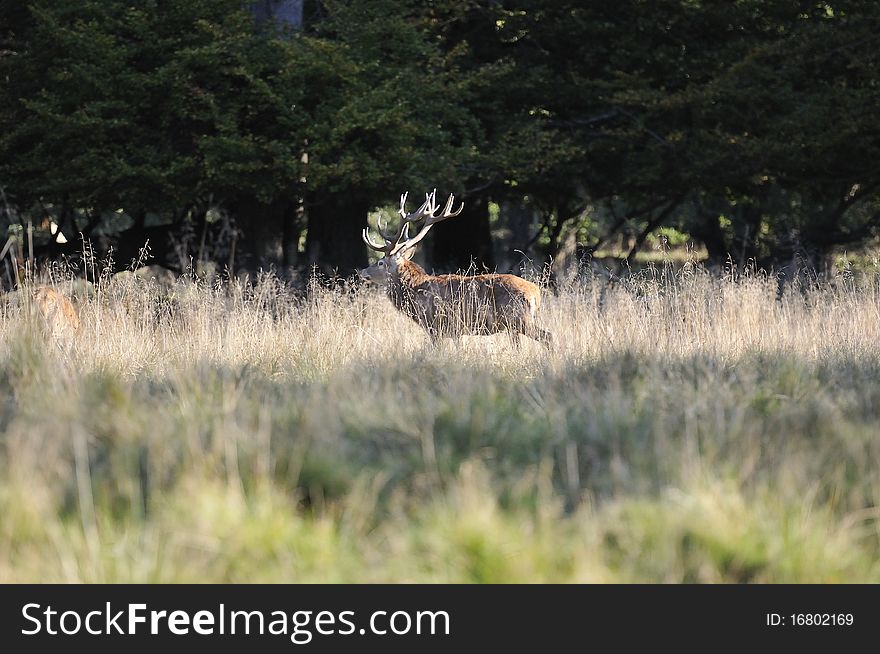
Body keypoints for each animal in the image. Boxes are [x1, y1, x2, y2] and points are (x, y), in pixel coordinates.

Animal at [358, 191, 552, 348]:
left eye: (381, 263)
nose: (363, 272)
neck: (415, 293)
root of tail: (536, 292)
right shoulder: (457, 331)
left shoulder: (436, 325)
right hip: (513, 325)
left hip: (518, 318)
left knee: (547, 335)